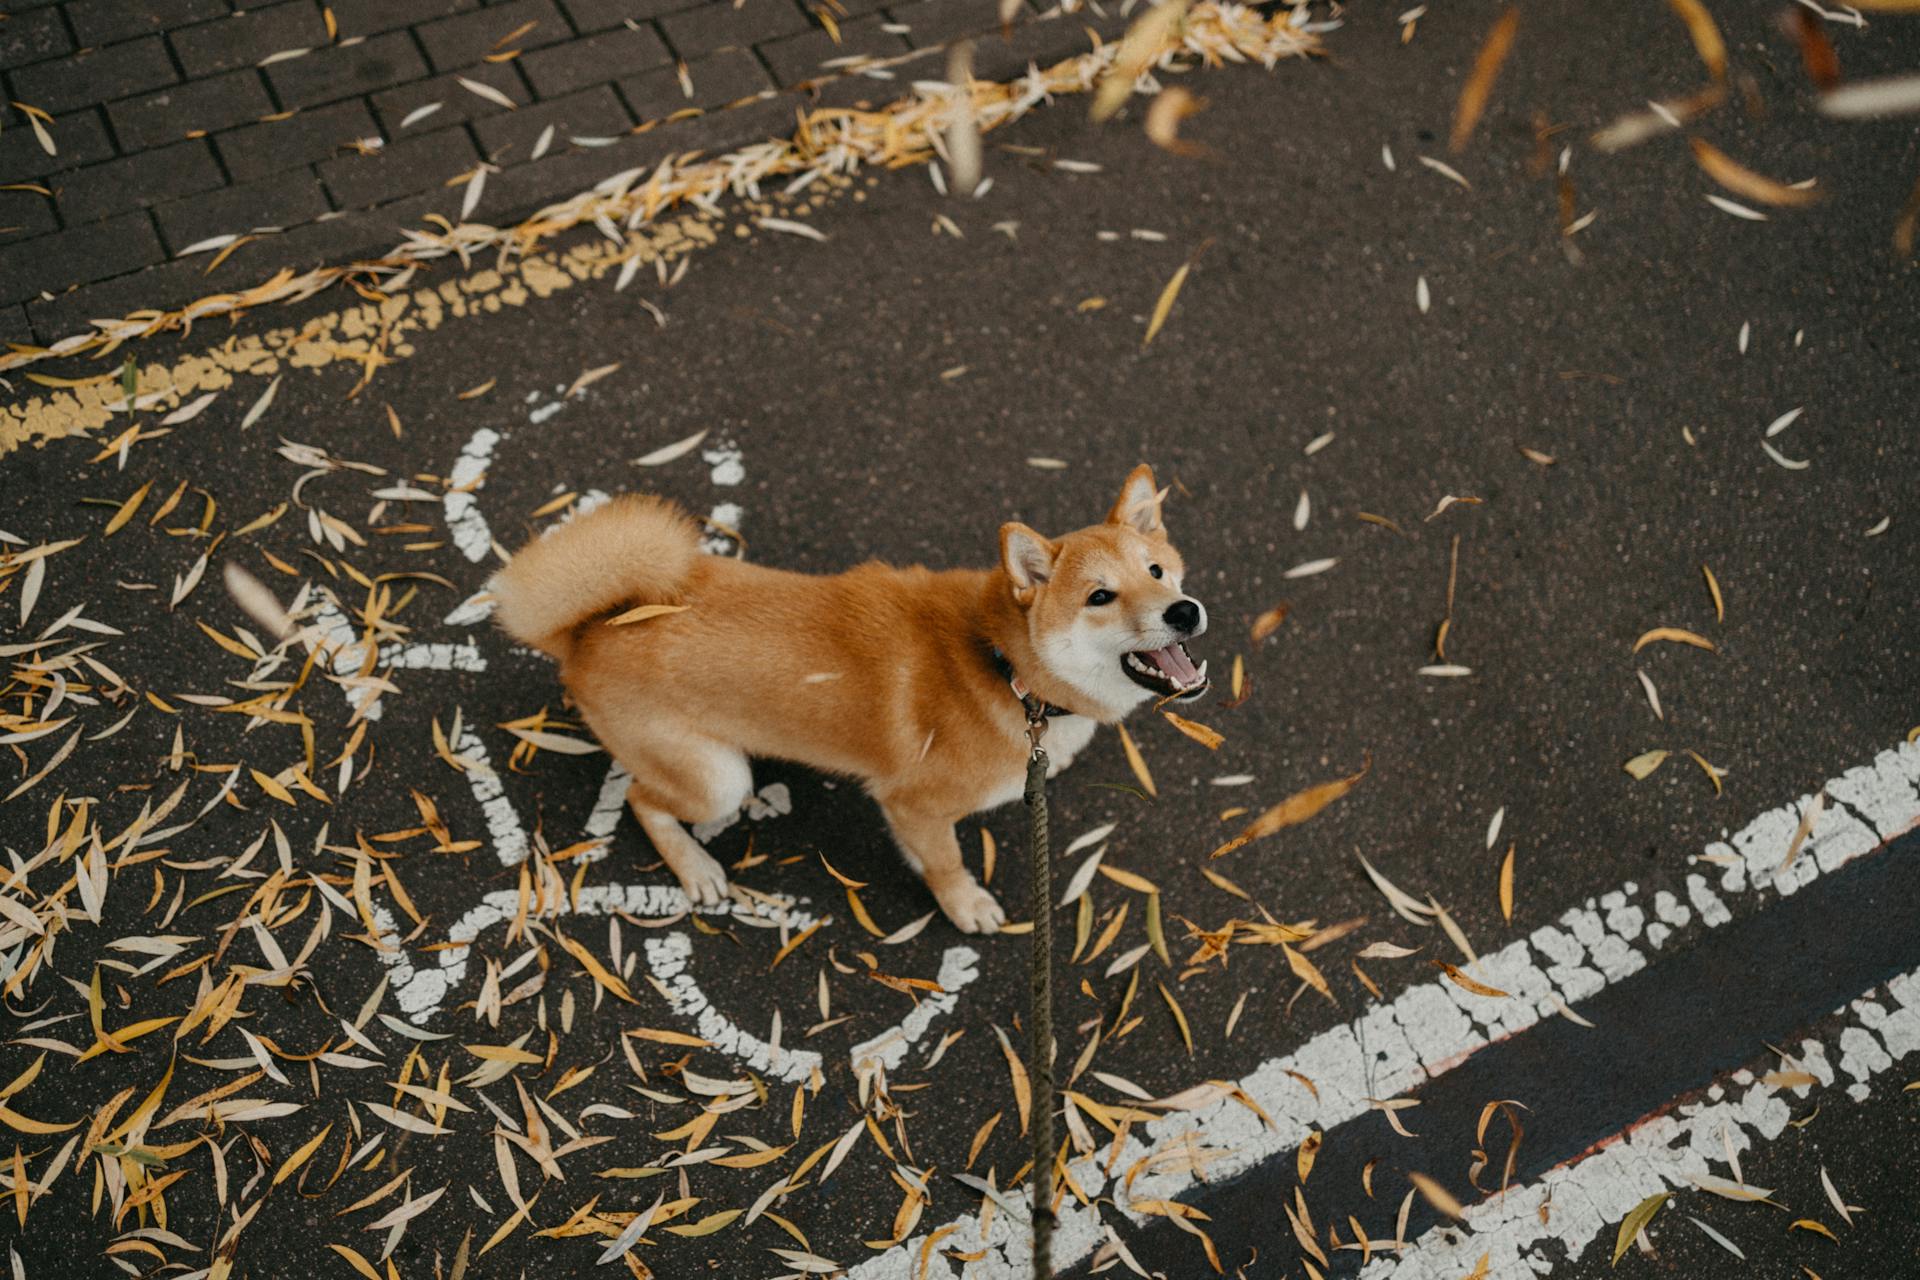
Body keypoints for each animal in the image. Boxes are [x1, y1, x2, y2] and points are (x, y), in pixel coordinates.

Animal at [503, 466, 1205, 936]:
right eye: (1099, 597)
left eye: (1156, 571)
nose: (1184, 610)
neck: (1004, 666)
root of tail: (586, 633)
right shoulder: (915, 805)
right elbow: (946, 863)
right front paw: (965, 905)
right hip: (714, 779)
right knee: (645, 802)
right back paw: (695, 866)